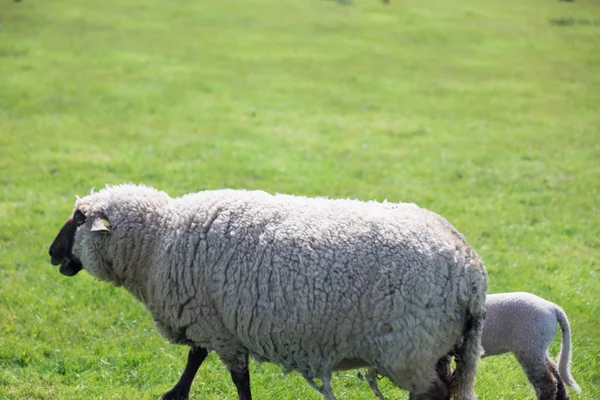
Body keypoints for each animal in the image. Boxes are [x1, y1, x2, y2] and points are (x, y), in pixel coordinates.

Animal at [47, 184, 488, 400]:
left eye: (80, 219)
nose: (51, 253)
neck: (159, 241)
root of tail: (472, 271)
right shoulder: (208, 319)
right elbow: (196, 358)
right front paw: (175, 393)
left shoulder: (218, 325)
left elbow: (234, 378)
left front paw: (178, 393)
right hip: (437, 347)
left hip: (409, 347)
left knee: (432, 394)